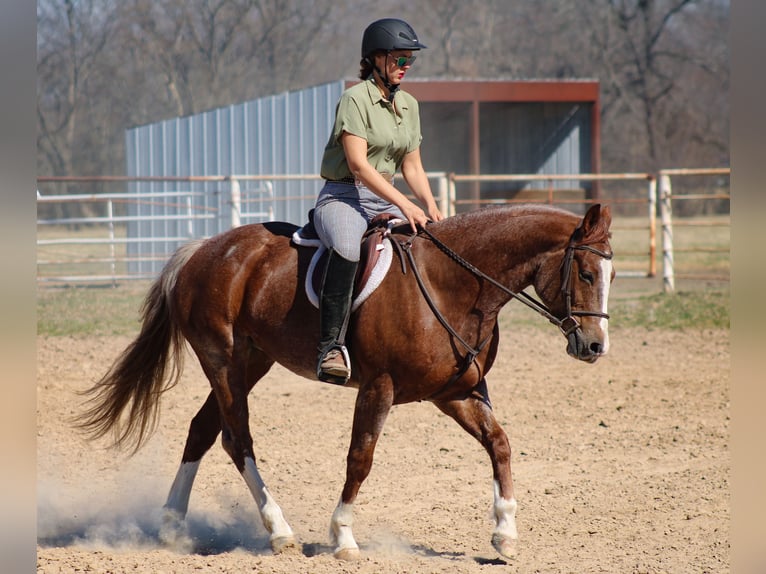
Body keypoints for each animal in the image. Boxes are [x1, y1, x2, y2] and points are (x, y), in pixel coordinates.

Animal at [76, 202, 614, 561]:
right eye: (586, 273)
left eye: (609, 274)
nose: (594, 346)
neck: (453, 284)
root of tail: (203, 250)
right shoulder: (380, 387)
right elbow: (361, 458)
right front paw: (343, 537)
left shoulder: (456, 393)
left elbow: (499, 444)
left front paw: (504, 532)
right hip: (222, 359)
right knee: (236, 438)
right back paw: (279, 531)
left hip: (251, 362)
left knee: (203, 430)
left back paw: (171, 525)